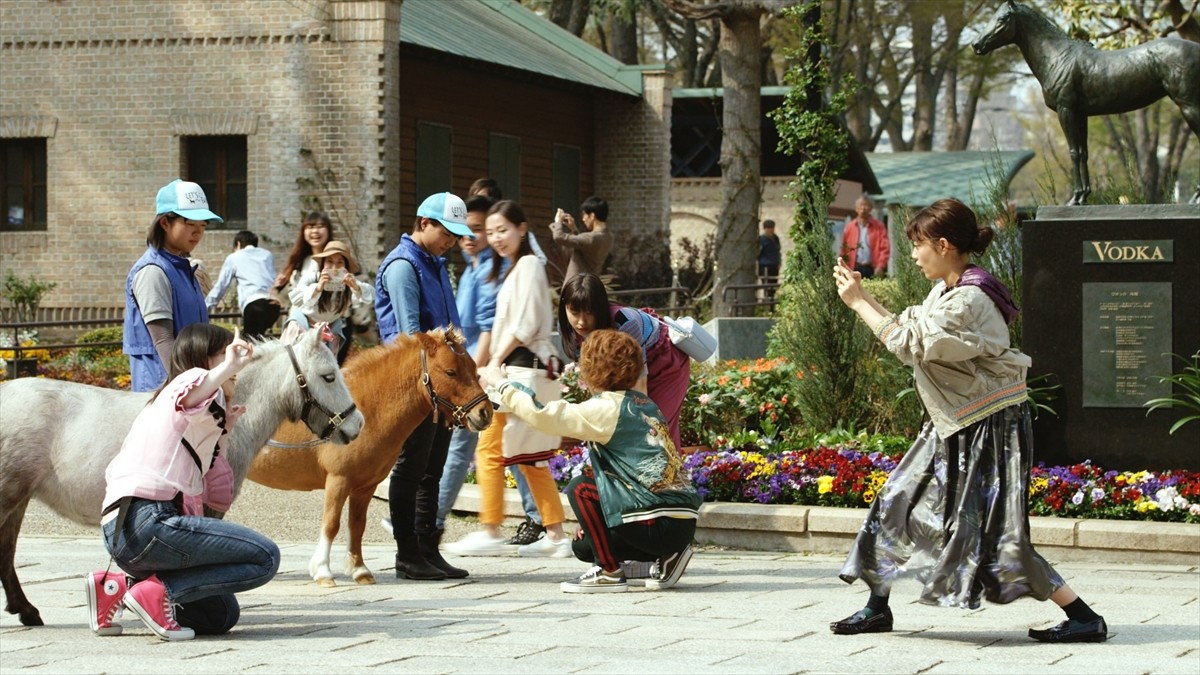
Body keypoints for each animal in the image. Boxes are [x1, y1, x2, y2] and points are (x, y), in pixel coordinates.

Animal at [248, 329, 492, 586]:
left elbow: (357, 525)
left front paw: (360, 570)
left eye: (474, 369)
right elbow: (331, 524)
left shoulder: (365, 486)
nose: (485, 413)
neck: (368, 408)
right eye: (450, 372)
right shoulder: (338, 480)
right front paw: (323, 571)